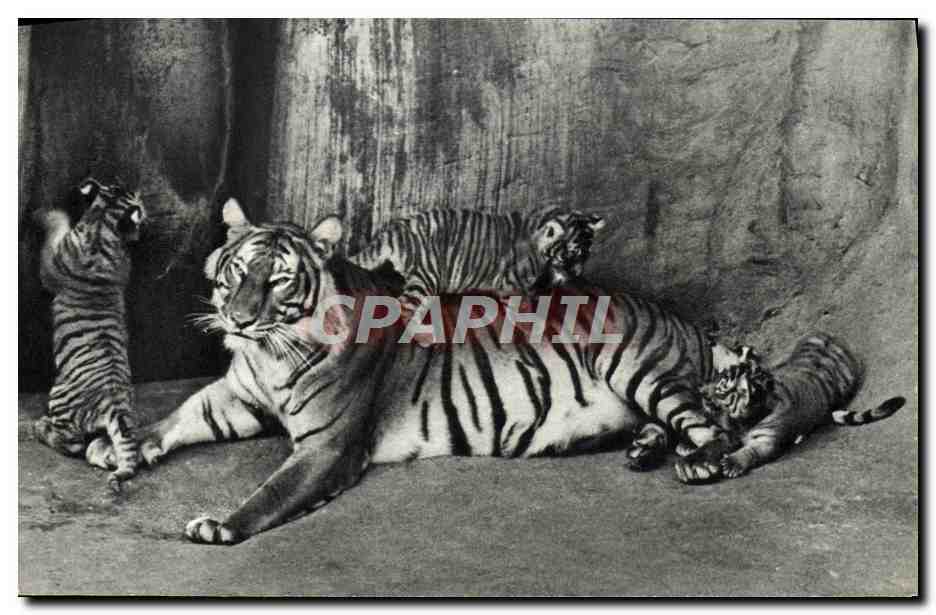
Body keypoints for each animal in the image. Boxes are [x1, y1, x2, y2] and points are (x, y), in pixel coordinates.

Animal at [33, 177, 147, 492]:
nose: (142, 198)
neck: (102, 223)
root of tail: (115, 404)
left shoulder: (50, 261)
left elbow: (56, 224)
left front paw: (42, 213)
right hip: (116, 427)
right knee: (109, 447)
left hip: (59, 397)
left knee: (70, 444)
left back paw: (39, 428)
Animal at [348, 207, 606, 320]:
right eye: (570, 254)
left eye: (585, 255)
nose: (576, 274)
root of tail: (393, 230)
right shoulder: (511, 286)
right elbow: (522, 312)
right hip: (427, 277)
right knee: (403, 310)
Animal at [696, 334, 906, 480]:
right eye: (718, 376)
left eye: (721, 389)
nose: (701, 391)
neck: (744, 421)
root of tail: (830, 338)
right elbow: (716, 442)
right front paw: (702, 456)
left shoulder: (767, 441)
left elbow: (751, 452)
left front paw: (732, 463)